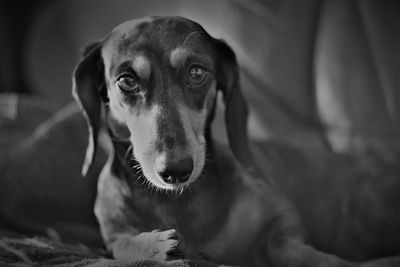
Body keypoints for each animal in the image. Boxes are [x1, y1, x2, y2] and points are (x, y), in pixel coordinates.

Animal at [71, 15, 396, 266]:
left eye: (197, 72)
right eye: (126, 80)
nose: (175, 170)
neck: (180, 202)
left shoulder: (280, 216)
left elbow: (288, 247)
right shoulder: (111, 230)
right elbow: (121, 244)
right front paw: (153, 245)